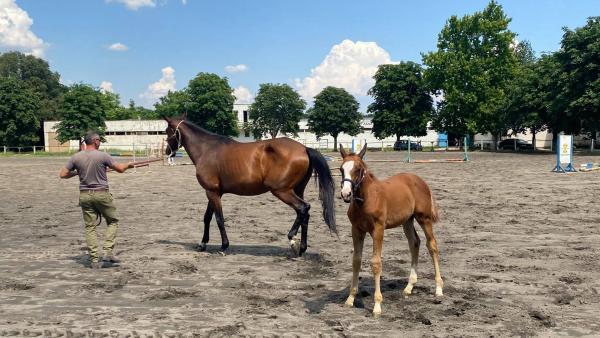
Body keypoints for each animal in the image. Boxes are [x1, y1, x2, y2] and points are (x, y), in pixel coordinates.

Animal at [162, 117, 336, 256]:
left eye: (167, 131)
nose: (167, 151)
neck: (207, 149)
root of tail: (304, 148)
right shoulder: (214, 192)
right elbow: (207, 217)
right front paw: (203, 244)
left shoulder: (211, 192)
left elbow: (219, 219)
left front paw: (224, 246)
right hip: (298, 190)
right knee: (305, 214)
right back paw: (302, 248)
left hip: (282, 191)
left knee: (303, 208)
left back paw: (292, 240)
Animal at [340, 144, 442, 316]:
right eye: (341, 169)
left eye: (358, 169)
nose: (346, 194)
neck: (366, 199)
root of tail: (420, 180)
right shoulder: (357, 230)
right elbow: (356, 261)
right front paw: (350, 299)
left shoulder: (378, 229)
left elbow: (376, 263)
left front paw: (377, 306)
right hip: (407, 220)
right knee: (415, 243)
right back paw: (409, 287)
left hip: (424, 218)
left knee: (432, 245)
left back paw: (439, 288)